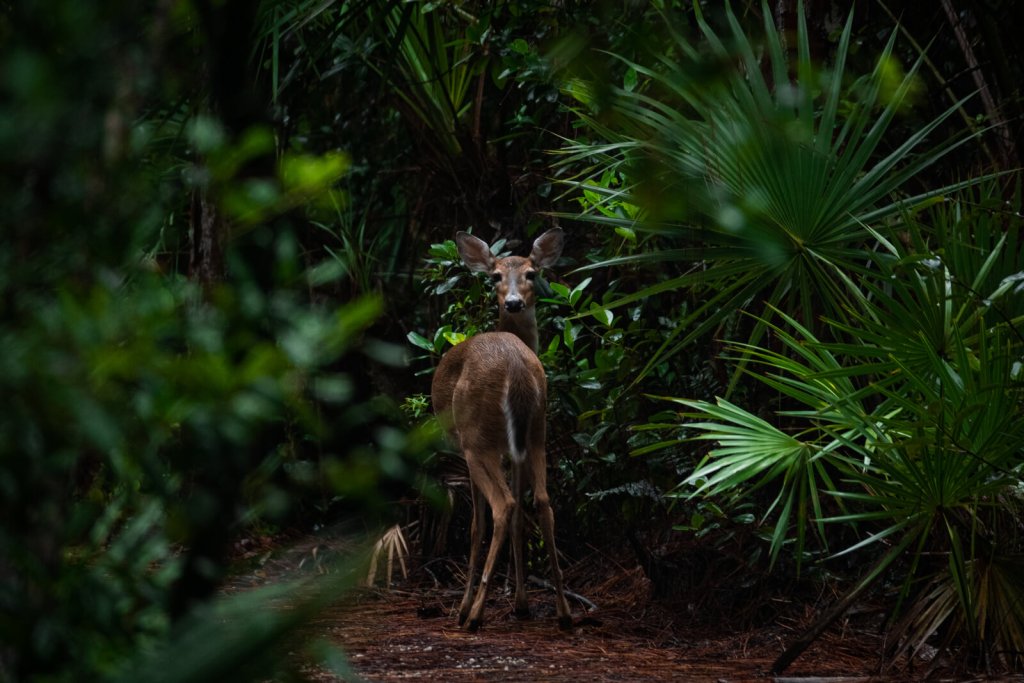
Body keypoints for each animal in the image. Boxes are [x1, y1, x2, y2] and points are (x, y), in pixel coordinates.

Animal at [432, 227, 577, 634]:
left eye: (531, 273)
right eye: (496, 276)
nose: (513, 302)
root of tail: (516, 365)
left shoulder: (474, 450)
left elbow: (476, 526)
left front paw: (469, 604)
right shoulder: (517, 450)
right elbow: (522, 521)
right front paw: (521, 602)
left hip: (476, 437)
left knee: (503, 506)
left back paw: (473, 615)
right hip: (538, 430)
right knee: (542, 502)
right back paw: (563, 611)